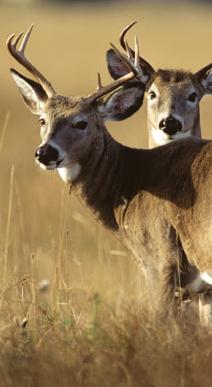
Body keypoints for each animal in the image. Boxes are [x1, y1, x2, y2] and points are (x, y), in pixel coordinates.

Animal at [7, 28, 212, 318]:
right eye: (42, 120)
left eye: (81, 123)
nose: (45, 152)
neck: (133, 183)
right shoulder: (201, 289)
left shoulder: (159, 258)